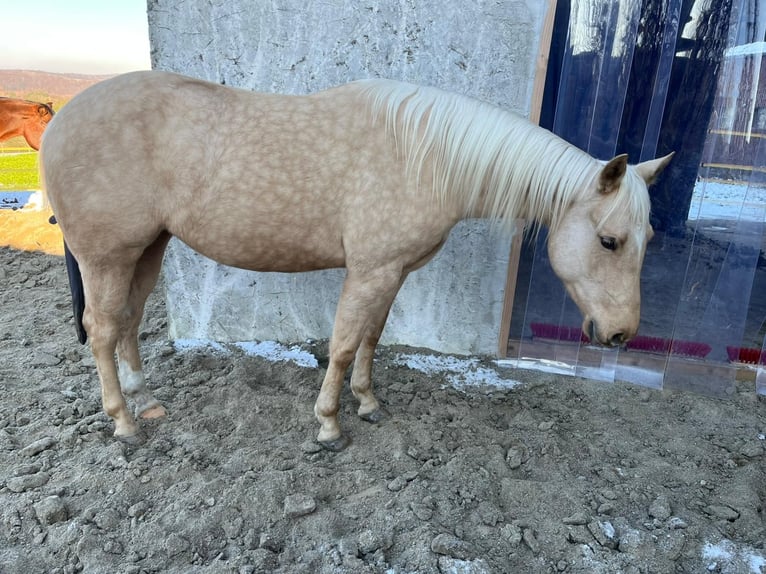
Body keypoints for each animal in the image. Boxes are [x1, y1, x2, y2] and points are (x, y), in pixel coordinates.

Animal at [40, 70, 673, 450]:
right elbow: (343, 346)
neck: (425, 156)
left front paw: (368, 403)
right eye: (610, 241)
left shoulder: (391, 273)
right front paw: (329, 425)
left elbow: (371, 338)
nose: (621, 334)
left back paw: (145, 401)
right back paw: (122, 421)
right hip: (107, 256)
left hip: (145, 249)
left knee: (127, 320)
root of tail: (59, 120)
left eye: (649, 238)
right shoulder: (370, 271)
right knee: (102, 330)